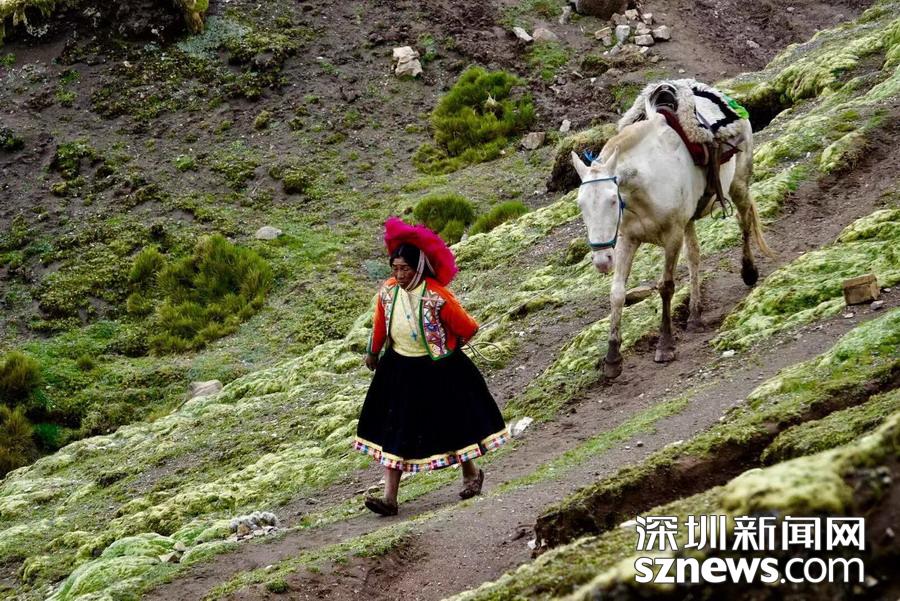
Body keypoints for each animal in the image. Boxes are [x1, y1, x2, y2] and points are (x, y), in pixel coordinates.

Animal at [571, 98, 772, 379]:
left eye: (612, 199)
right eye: (581, 204)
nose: (601, 261)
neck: (644, 185)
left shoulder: (672, 235)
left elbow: (666, 287)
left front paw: (665, 346)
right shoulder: (627, 239)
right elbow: (617, 293)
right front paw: (612, 358)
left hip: (738, 185)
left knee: (744, 221)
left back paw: (749, 271)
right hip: (689, 221)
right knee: (694, 256)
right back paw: (695, 315)